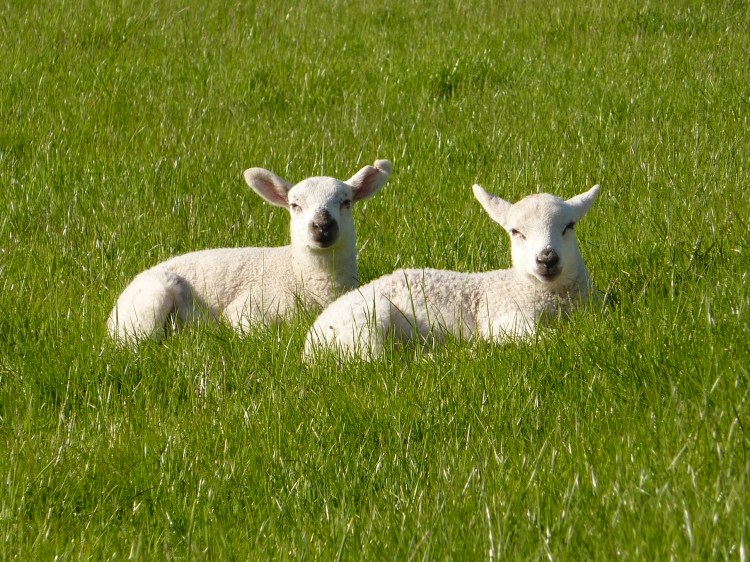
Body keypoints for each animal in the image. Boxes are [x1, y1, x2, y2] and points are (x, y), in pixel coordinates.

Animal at [304, 182, 600, 360]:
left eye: (569, 226)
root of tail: (309, 346)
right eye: (516, 232)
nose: (547, 258)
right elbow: (544, 337)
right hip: (362, 323)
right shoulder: (502, 316)